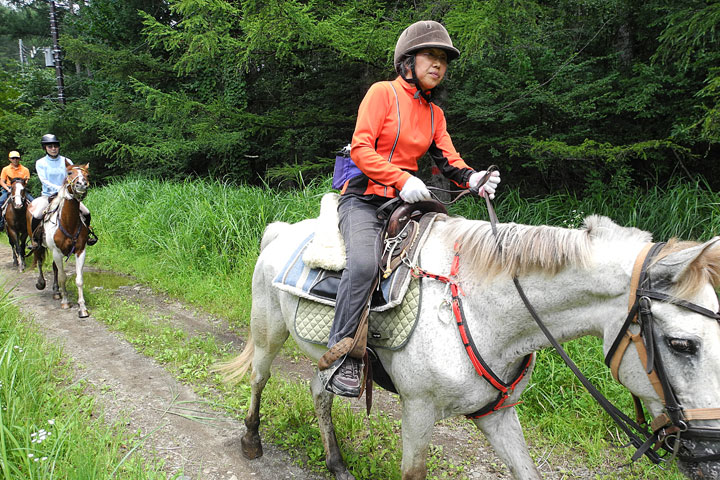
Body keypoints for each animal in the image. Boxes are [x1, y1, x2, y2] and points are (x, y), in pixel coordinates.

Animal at [32, 163, 92, 316]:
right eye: (69, 172)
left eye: (87, 175)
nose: (81, 184)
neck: (68, 222)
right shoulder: (57, 252)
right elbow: (63, 277)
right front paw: (65, 302)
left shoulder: (80, 251)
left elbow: (79, 279)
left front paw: (82, 308)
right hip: (39, 246)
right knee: (39, 261)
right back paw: (41, 283)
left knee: (54, 268)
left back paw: (56, 292)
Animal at [218, 212, 720, 478]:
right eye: (682, 343)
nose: (712, 458)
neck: (483, 310)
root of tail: (281, 229)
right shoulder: (418, 411)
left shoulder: (497, 414)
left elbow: (525, 469)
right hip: (268, 332)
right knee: (260, 378)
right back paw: (251, 440)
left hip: (334, 357)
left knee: (319, 394)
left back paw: (337, 463)